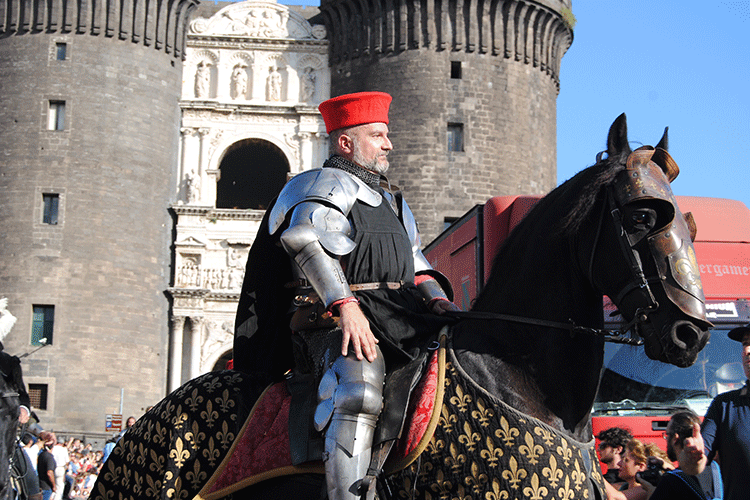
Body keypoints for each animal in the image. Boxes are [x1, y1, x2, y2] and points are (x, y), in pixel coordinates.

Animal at [91, 114, 712, 500]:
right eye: (641, 216)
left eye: (688, 222)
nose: (691, 333)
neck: (518, 381)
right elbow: (304, 237)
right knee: (356, 395)